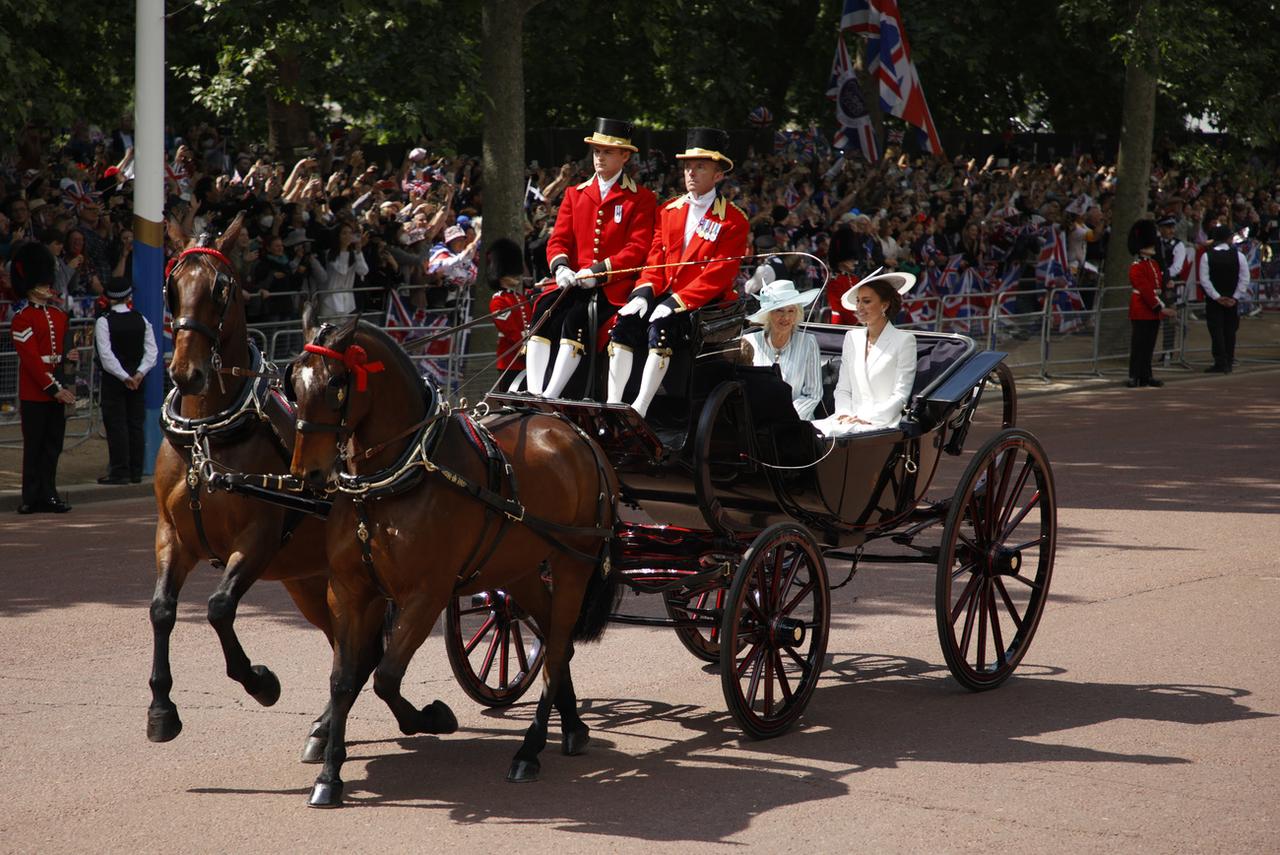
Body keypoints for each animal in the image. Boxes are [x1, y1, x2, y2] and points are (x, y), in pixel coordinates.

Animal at [150, 215, 384, 762]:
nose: (185, 373)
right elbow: (162, 610)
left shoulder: (257, 537)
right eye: (172, 286)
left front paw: (260, 681)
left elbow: (218, 608)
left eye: (222, 287)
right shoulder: (172, 533)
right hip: (311, 583)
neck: (208, 433)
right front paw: (162, 710)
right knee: (349, 648)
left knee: (363, 650)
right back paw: (332, 726)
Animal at [288, 311, 616, 803]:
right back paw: (574, 727)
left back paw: (530, 749)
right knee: (556, 642)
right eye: (293, 382)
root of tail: (577, 433)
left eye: (335, 384)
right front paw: (330, 775)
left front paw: (431, 717)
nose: (306, 473)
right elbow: (344, 679)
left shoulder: (426, 594)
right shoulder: (348, 590)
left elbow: (385, 676)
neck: (391, 484)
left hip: (573, 565)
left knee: (557, 649)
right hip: (519, 571)